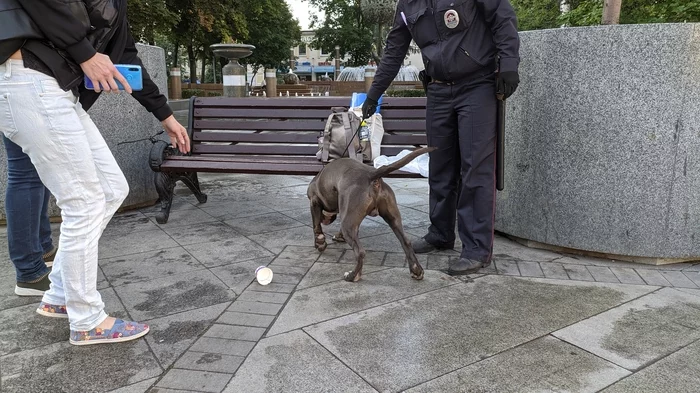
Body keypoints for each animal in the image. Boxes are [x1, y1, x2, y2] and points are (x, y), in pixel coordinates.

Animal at [308, 145, 434, 280]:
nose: (326, 220)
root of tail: (371, 175)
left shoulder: (314, 201)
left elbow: (316, 226)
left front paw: (320, 243)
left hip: (348, 224)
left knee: (360, 252)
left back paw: (352, 275)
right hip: (392, 218)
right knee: (406, 242)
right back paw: (416, 271)